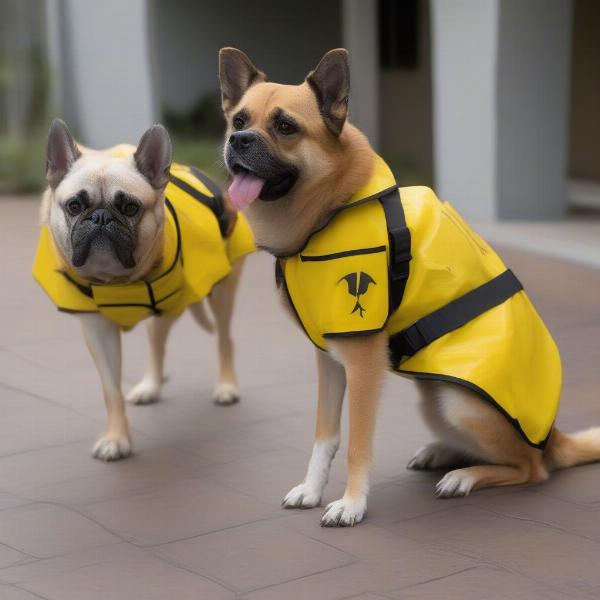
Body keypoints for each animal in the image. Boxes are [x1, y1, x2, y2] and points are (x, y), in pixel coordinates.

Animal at [37, 119, 248, 462]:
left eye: (130, 207)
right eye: (74, 206)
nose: (100, 217)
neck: (116, 279)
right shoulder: (99, 333)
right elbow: (111, 391)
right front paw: (117, 438)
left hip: (221, 294)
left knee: (224, 339)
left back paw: (227, 386)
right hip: (164, 315)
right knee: (157, 345)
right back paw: (150, 386)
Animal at [218, 47, 600, 524]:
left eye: (285, 127)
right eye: (239, 119)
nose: (238, 141)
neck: (331, 210)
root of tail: (554, 434)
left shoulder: (363, 365)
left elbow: (357, 443)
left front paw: (351, 504)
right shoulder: (328, 359)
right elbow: (325, 434)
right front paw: (311, 489)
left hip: (459, 403)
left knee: (530, 468)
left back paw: (465, 476)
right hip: (432, 401)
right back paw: (442, 454)